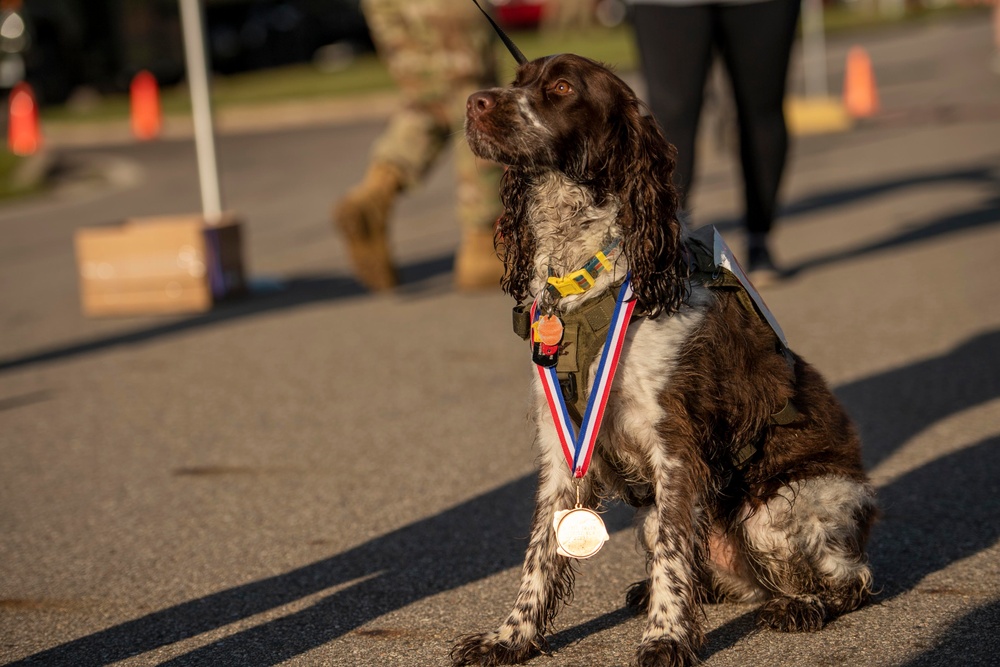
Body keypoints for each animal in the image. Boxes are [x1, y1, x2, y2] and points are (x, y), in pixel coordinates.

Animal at [454, 52, 876, 667]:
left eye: (561, 88)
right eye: (517, 82)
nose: (474, 102)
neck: (583, 274)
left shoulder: (674, 443)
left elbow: (675, 551)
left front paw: (668, 637)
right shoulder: (561, 449)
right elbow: (541, 552)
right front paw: (510, 637)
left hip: (782, 507)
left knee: (852, 579)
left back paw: (801, 606)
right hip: (661, 518)